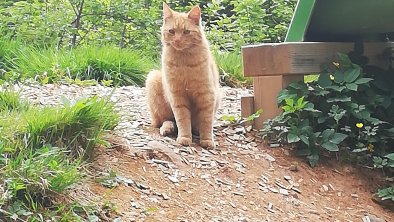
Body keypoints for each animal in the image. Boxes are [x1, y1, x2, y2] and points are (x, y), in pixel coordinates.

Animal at [145, 2, 220, 148]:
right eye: (172, 31)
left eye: (186, 32)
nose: (178, 40)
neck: (184, 60)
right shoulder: (177, 96)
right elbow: (183, 120)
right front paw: (185, 138)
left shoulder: (207, 95)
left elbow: (206, 122)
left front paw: (207, 140)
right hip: (153, 79)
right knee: (166, 120)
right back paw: (167, 128)